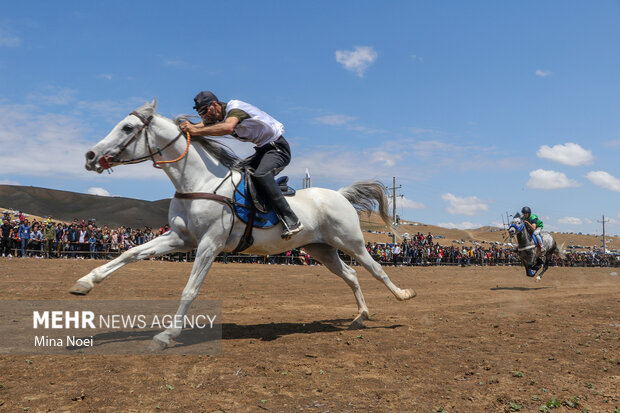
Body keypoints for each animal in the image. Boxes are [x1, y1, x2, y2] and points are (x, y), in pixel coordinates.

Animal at [71, 99, 416, 348]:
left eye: (127, 127)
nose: (89, 156)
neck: (200, 182)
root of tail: (340, 194)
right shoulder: (180, 238)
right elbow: (131, 253)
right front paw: (85, 282)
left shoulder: (209, 244)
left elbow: (189, 290)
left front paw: (167, 335)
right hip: (322, 249)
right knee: (351, 275)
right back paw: (360, 316)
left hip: (351, 242)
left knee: (376, 268)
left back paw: (402, 296)